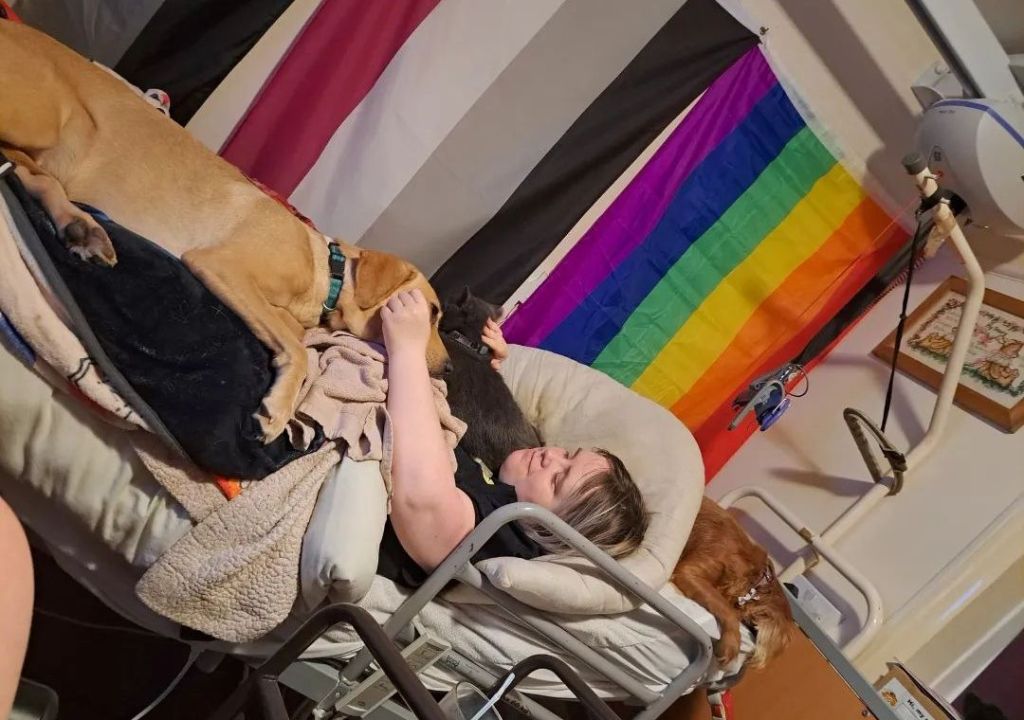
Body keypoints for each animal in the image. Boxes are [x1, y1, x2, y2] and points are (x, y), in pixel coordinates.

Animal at [0, 20, 449, 442]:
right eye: (432, 312)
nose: (448, 367)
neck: (326, 273)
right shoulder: (222, 266)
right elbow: (299, 347)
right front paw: (278, 409)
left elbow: (295, 336)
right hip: (43, 120)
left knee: (29, 173)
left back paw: (80, 226)